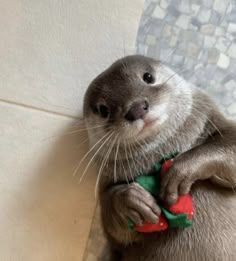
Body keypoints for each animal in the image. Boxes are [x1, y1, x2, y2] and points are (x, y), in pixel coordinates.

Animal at [82, 55, 236, 260]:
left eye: (148, 77)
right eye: (103, 109)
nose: (136, 108)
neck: (162, 151)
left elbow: (225, 145)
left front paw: (180, 172)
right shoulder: (105, 186)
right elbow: (113, 226)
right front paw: (131, 201)